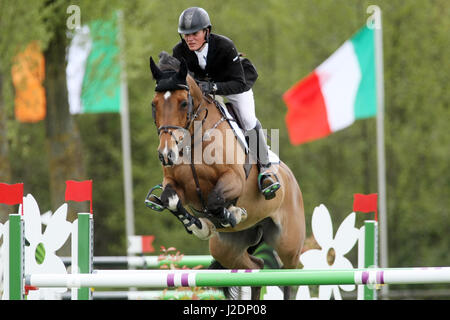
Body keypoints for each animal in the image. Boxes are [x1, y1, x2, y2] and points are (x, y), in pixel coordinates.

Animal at [148, 52, 306, 300]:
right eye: (154, 105)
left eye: (183, 103)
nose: (166, 154)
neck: (194, 139)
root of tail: (293, 182)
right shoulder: (174, 184)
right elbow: (169, 199)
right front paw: (200, 226)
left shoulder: (234, 179)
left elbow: (215, 200)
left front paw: (232, 214)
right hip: (227, 248)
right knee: (257, 267)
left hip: (288, 243)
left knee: (290, 276)